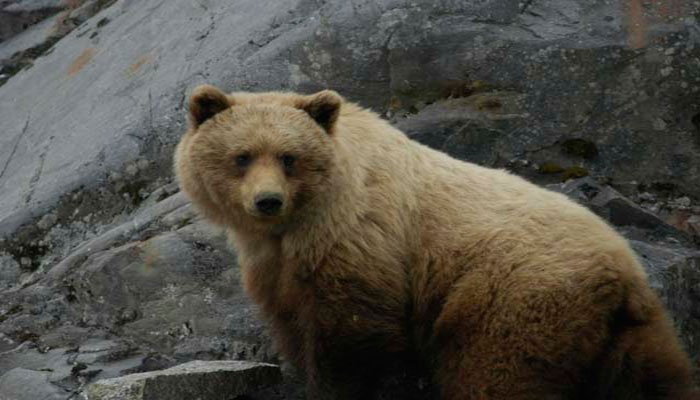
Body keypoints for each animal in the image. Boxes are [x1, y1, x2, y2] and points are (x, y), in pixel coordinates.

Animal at [175, 85, 696, 400]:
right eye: (242, 156)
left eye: (289, 157)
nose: (267, 201)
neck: (296, 225)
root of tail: (621, 273)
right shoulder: (275, 268)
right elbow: (293, 325)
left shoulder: (360, 242)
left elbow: (351, 339)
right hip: (631, 334)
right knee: (656, 379)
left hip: (511, 301)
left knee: (495, 376)